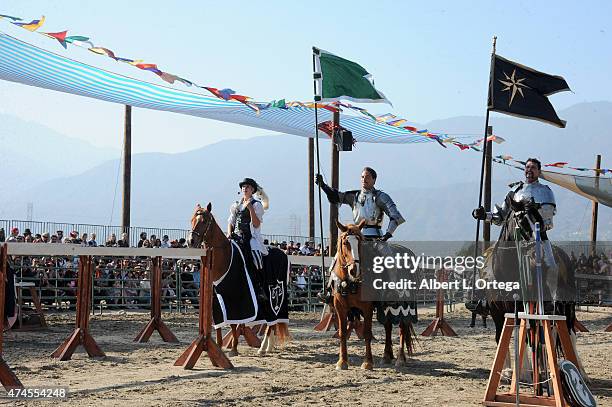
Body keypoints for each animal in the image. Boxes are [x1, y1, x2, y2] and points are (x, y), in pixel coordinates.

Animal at [189, 204, 290, 356]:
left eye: (204, 221)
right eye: (192, 220)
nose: (191, 241)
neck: (225, 257)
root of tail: (283, 253)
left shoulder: (235, 297)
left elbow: (233, 322)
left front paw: (234, 349)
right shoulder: (216, 298)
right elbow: (218, 323)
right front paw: (219, 346)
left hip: (274, 295)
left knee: (272, 320)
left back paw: (262, 348)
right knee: (270, 322)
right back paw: (267, 347)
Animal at [332, 222, 414, 372]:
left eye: (360, 243)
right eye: (345, 242)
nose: (354, 270)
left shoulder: (367, 307)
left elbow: (367, 333)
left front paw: (368, 362)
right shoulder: (340, 307)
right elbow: (342, 333)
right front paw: (342, 362)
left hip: (402, 305)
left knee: (402, 327)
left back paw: (400, 359)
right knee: (388, 327)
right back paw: (386, 356)